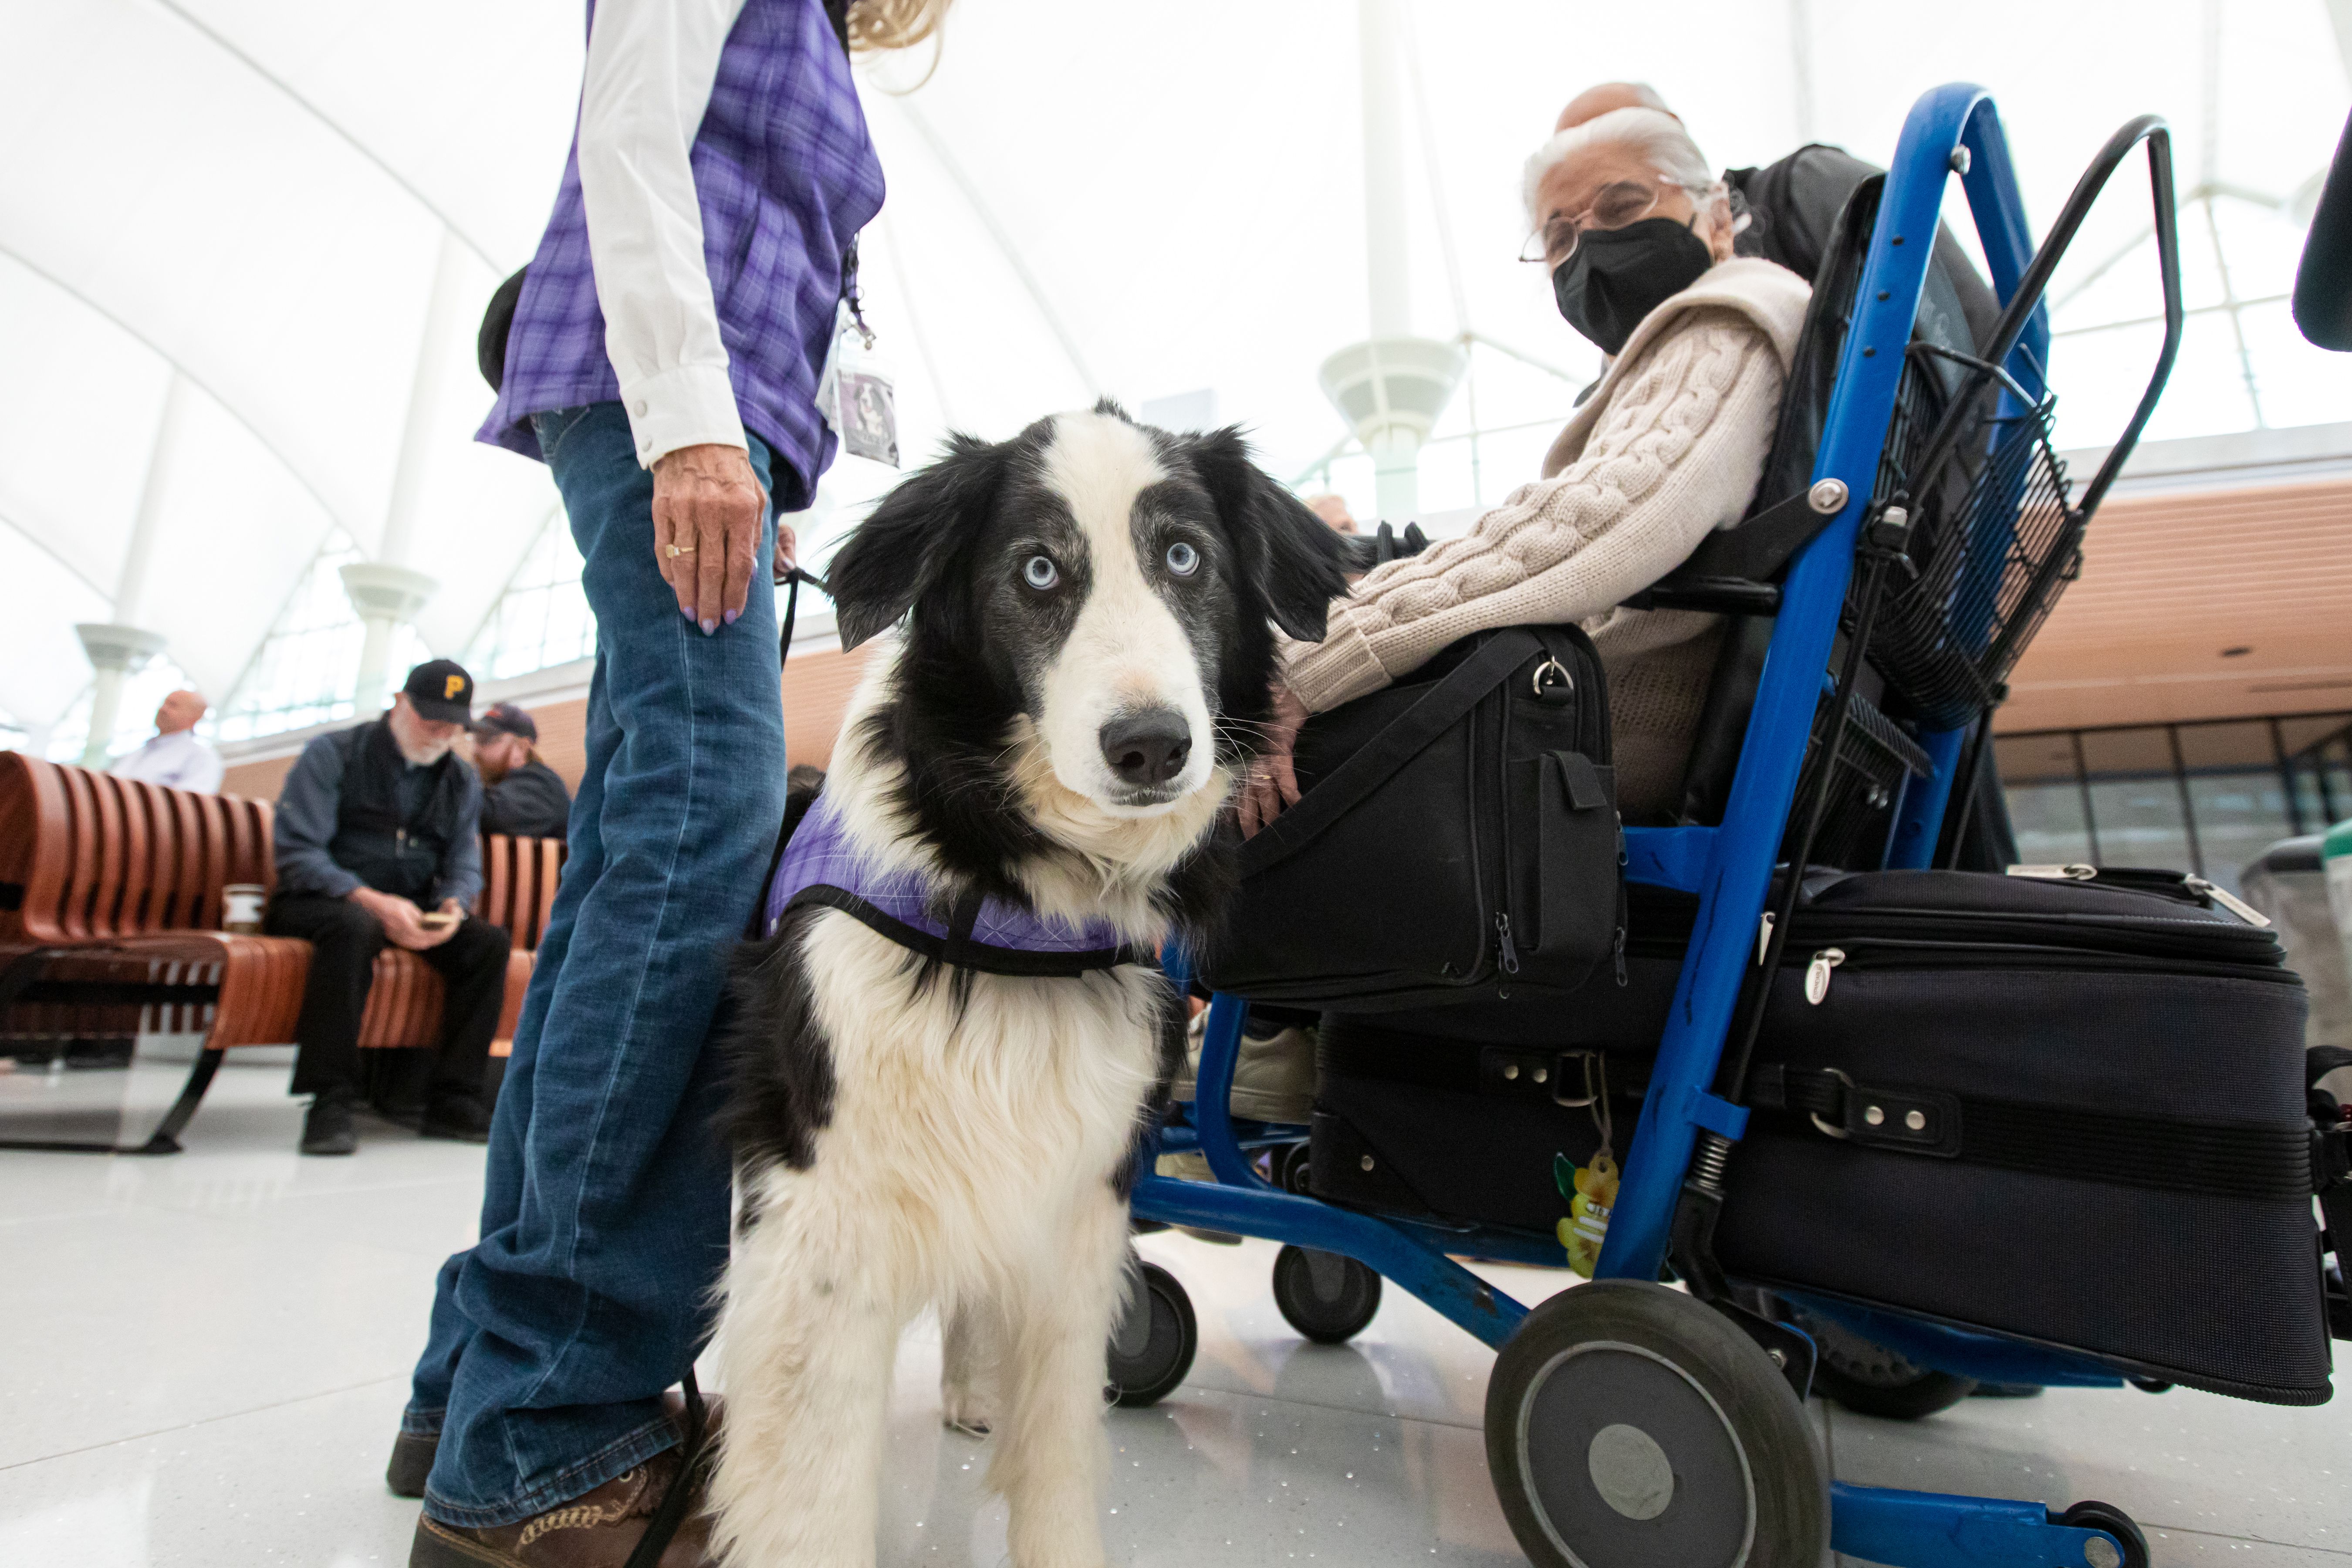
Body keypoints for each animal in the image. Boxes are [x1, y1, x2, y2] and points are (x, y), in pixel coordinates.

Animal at [710, 399, 1345, 1561]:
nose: (1151, 746)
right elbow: (813, 1491)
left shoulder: (1078, 1189)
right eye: (1040, 571)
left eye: (1184, 557)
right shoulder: (824, 1199)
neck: (1013, 903)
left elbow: (1057, 1452)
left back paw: (970, 1391)